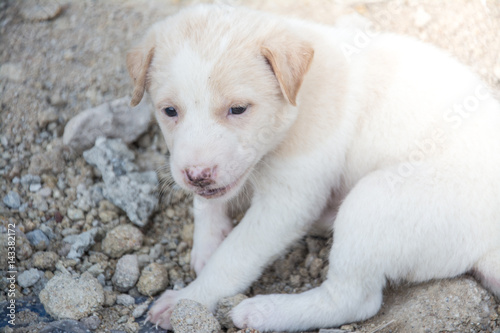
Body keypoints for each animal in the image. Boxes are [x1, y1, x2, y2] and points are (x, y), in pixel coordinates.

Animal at [127, 3, 500, 330]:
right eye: (169, 111)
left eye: (238, 109)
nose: (197, 176)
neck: (301, 94)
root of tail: (489, 245)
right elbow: (207, 203)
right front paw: (207, 243)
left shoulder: (287, 202)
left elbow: (233, 257)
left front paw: (187, 300)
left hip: (373, 202)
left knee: (353, 300)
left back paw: (264, 312)